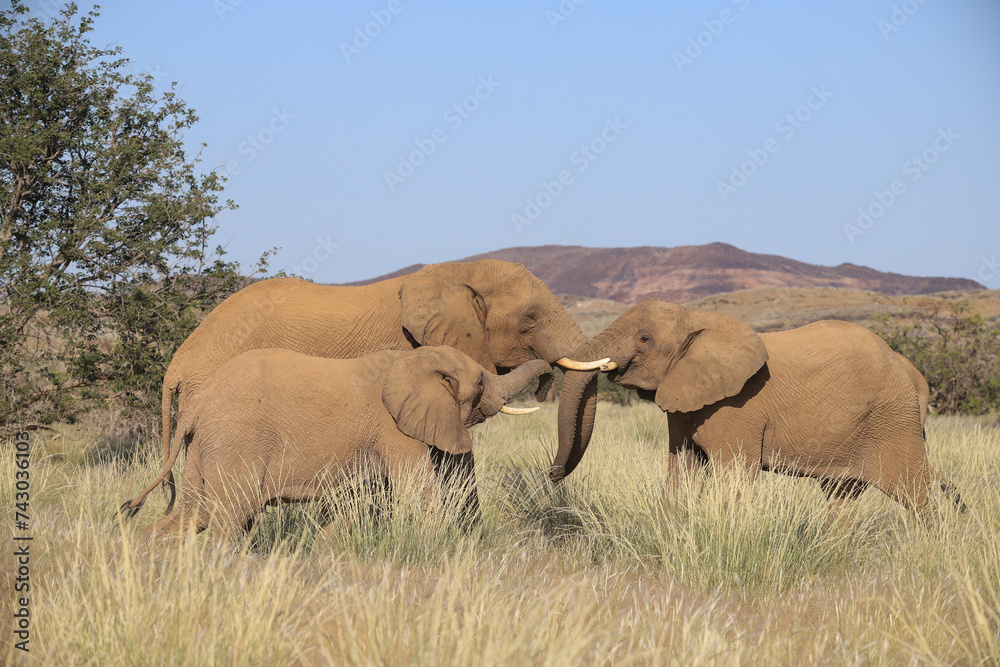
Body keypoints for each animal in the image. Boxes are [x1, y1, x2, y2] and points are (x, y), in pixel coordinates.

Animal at [123, 347, 551, 541]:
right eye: (480, 382)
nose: (549, 377)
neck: (412, 358)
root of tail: (198, 402)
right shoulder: (395, 429)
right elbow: (418, 490)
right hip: (235, 442)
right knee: (229, 518)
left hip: (204, 445)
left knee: (191, 515)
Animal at [554, 299, 963, 514]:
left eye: (644, 338)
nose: (553, 475)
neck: (698, 319)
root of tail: (907, 368)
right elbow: (682, 468)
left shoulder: (737, 407)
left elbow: (733, 476)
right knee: (842, 496)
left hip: (893, 420)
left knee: (915, 494)